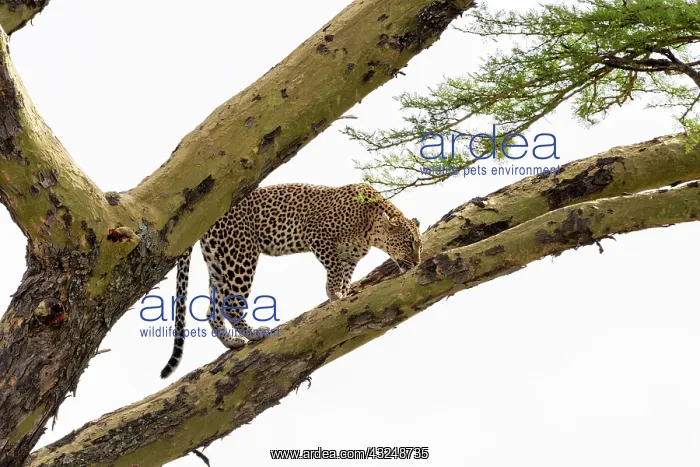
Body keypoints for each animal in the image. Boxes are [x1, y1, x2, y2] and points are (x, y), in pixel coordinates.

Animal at [160, 183, 422, 378]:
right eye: (408, 243)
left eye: (419, 245)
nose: (418, 262)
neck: (371, 227)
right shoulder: (319, 236)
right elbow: (334, 271)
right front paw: (334, 294)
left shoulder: (350, 257)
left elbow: (345, 277)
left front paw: (344, 294)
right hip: (241, 256)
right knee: (231, 305)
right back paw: (255, 334)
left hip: (219, 263)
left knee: (212, 309)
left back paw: (232, 342)